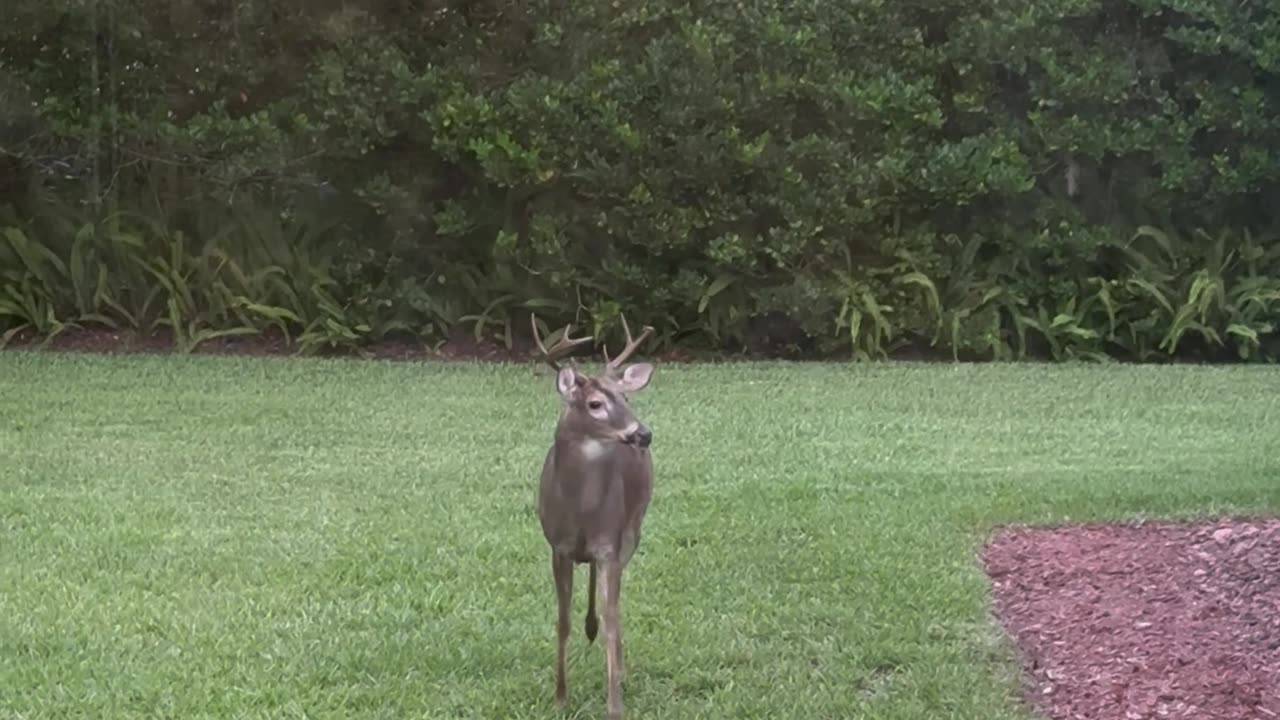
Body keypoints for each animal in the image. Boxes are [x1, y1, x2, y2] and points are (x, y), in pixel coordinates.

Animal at [529, 312, 655, 717]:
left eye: (626, 397)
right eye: (596, 404)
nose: (643, 434)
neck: (580, 512)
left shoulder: (609, 547)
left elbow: (612, 620)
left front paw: (614, 703)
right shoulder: (557, 547)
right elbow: (563, 621)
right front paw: (560, 697)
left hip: (633, 529)